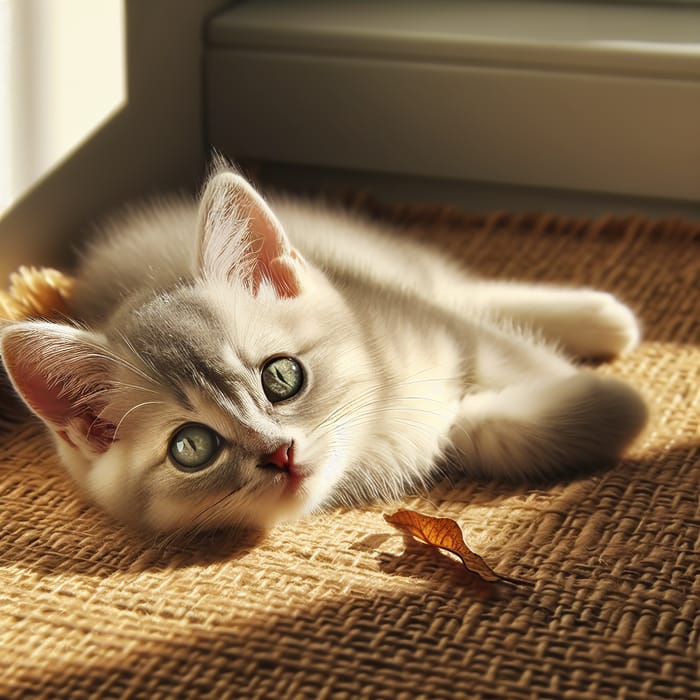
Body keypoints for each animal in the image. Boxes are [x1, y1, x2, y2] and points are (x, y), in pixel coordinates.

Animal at [0, 167, 648, 532]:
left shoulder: (430, 324)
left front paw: (615, 396)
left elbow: (507, 361)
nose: (279, 453)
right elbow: (472, 428)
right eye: (191, 447)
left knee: (462, 291)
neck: (371, 429)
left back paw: (603, 318)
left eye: (281, 377)